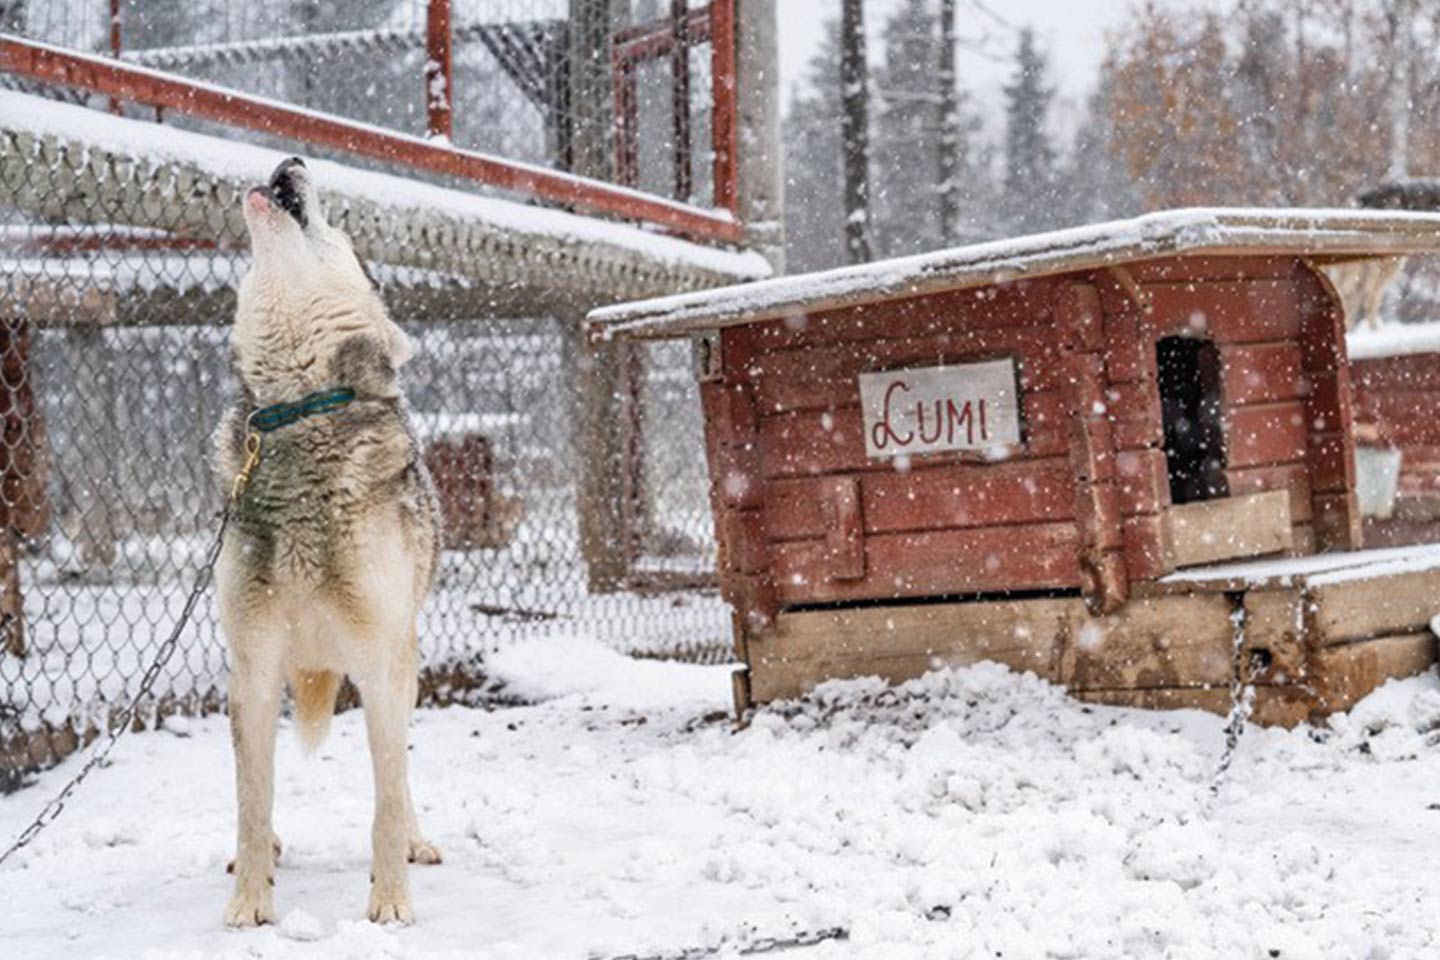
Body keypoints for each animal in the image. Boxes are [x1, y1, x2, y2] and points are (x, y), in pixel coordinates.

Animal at [216, 157, 440, 932]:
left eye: (346, 237)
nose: (292, 161)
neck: (295, 411)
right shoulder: (251, 672)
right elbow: (251, 802)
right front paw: (250, 903)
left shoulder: (379, 669)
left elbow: (385, 800)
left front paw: (391, 903)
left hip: (402, 666)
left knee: (401, 775)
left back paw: (417, 842)